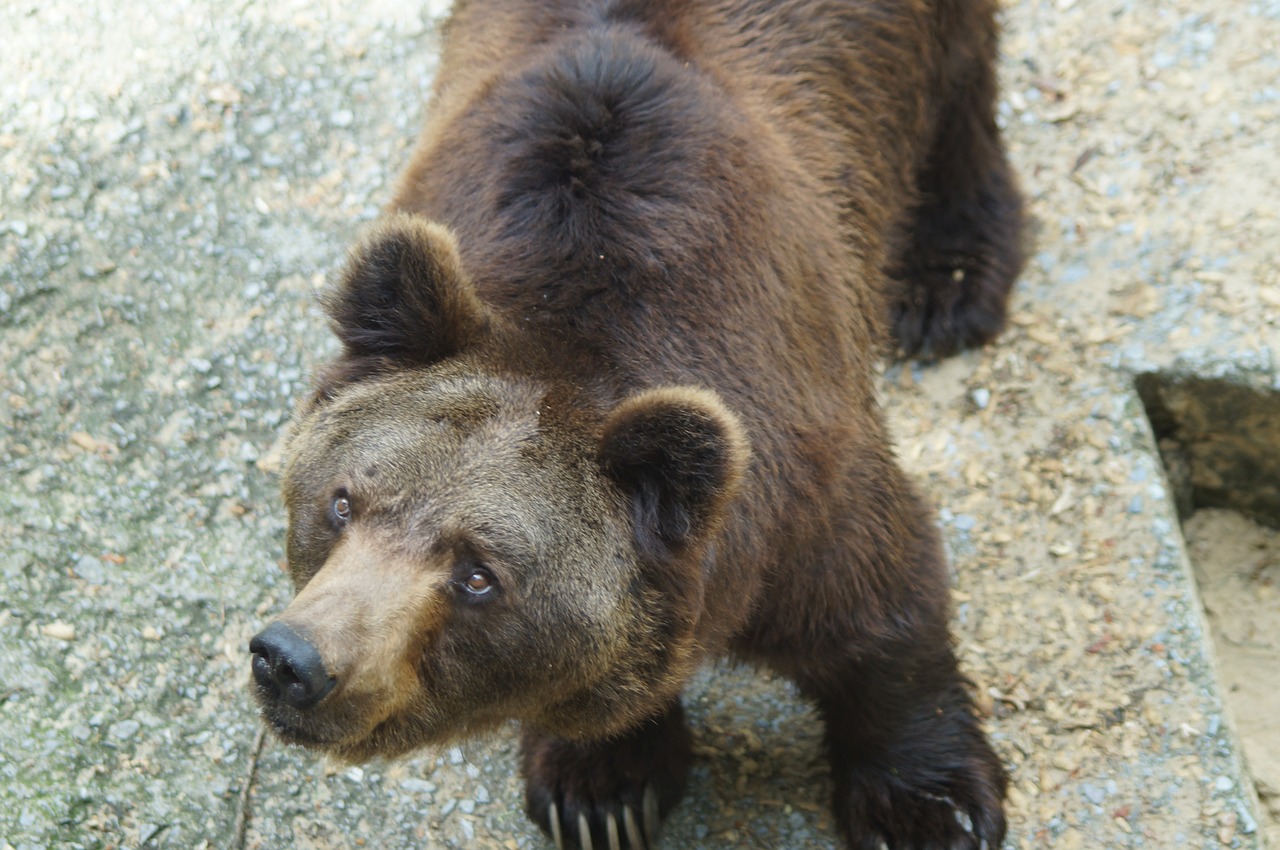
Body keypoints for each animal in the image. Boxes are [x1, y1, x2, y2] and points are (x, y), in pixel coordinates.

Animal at [249, 1, 1024, 850]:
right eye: (341, 502)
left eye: (479, 573)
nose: (293, 660)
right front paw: (603, 790)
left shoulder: (802, 481)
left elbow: (882, 606)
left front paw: (929, 808)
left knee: (960, 93)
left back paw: (946, 280)